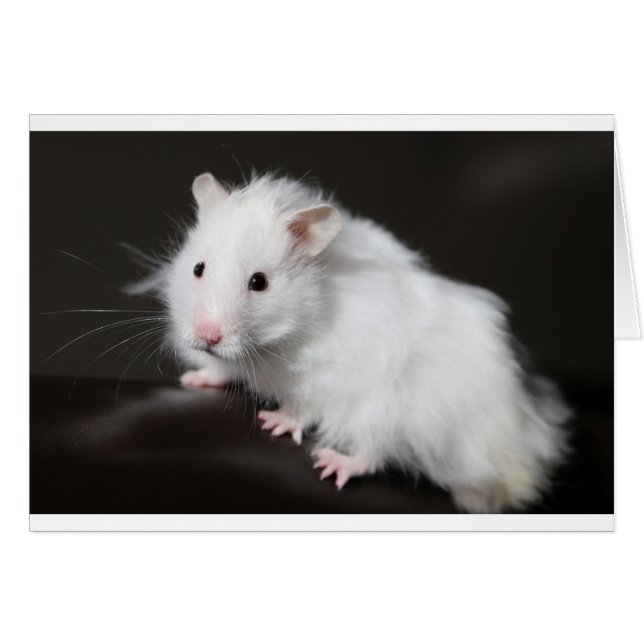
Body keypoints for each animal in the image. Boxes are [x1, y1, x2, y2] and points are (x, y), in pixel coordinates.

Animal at [137, 171, 571, 513]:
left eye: (259, 282)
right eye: (198, 268)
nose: (207, 336)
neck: (270, 346)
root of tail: (517, 437)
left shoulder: (329, 379)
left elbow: (304, 407)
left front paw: (276, 421)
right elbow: (220, 369)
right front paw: (193, 379)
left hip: (396, 412)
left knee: (372, 454)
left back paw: (332, 464)